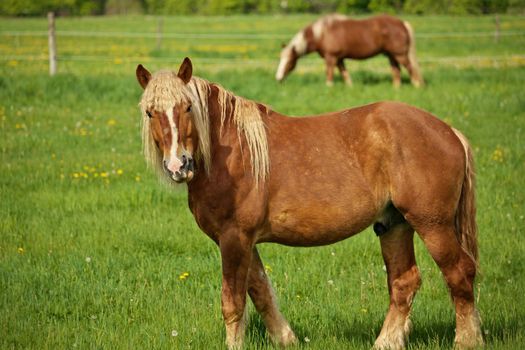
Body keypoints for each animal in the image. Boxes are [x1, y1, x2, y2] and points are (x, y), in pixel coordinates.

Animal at [136, 57, 484, 350]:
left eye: (187, 107)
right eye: (150, 112)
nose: (178, 165)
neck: (231, 152)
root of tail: (448, 131)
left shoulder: (234, 238)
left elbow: (233, 302)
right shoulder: (244, 241)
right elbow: (261, 291)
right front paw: (286, 339)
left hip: (432, 225)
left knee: (459, 273)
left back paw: (466, 341)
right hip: (394, 225)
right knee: (404, 282)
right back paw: (386, 342)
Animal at [276, 14, 424, 87]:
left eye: (289, 61)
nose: (278, 78)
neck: (322, 33)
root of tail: (401, 23)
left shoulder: (331, 58)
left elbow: (329, 72)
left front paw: (329, 87)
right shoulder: (339, 59)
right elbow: (344, 73)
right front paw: (349, 87)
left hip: (400, 55)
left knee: (411, 69)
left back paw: (417, 86)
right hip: (391, 55)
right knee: (396, 71)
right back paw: (396, 89)